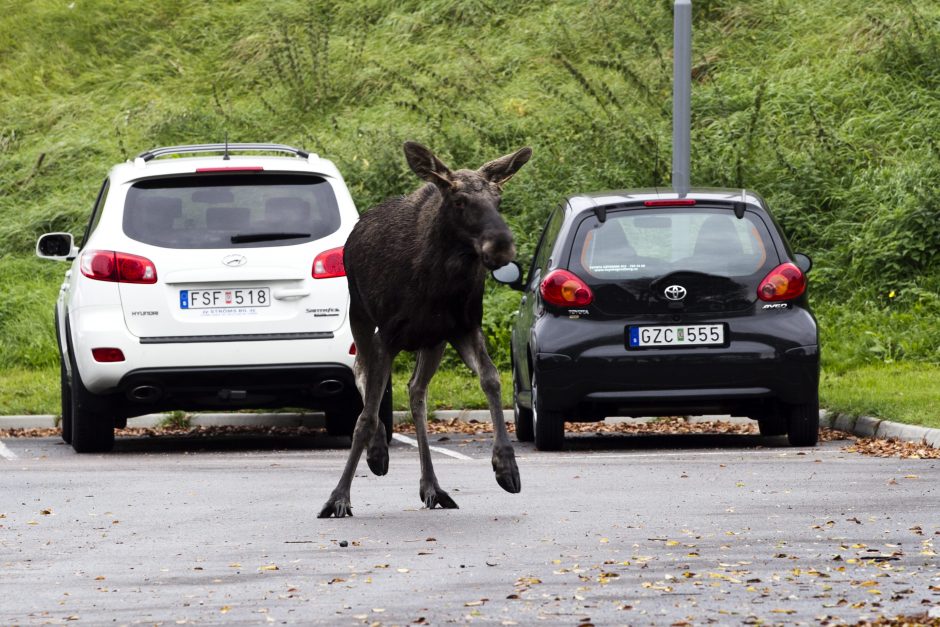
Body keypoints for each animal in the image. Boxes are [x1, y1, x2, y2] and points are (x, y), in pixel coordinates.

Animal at [320, 142, 532, 520]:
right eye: (459, 200)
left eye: (499, 199)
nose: (501, 246)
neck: (439, 283)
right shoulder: (386, 335)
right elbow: (366, 415)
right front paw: (338, 496)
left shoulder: (462, 328)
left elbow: (492, 379)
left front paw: (506, 466)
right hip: (360, 315)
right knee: (362, 373)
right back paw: (378, 453)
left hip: (431, 342)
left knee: (416, 390)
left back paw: (431, 486)